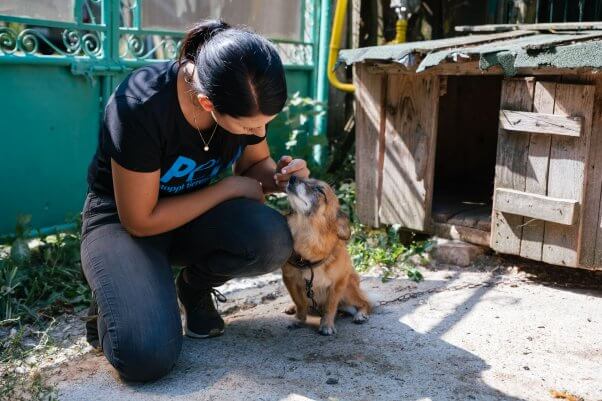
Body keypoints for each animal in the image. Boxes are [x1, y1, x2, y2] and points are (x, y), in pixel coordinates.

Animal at [282, 176, 370, 334]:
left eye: (320, 190)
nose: (292, 177)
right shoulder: (290, 280)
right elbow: (300, 303)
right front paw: (299, 319)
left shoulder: (338, 284)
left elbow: (330, 306)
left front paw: (327, 325)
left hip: (348, 290)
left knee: (365, 303)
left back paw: (361, 315)